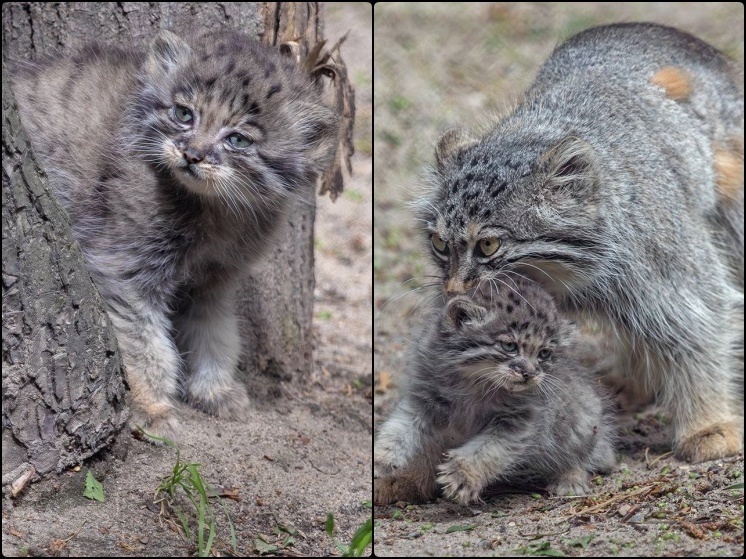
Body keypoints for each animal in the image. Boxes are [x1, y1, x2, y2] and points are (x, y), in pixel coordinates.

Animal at [12, 30, 338, 440]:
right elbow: (144, 344)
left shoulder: (215, 280)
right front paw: (150, 406)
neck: (217, 213)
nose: (192, 154)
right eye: (184, 114)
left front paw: (215, 390)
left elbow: (216, 333)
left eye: (238, 140)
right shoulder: (125, 268)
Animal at [374, 282, 612, 506]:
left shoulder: (519, 421)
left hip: (582, 421)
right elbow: (399, 426)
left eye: (544, 353)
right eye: (509, 346)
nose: (529, 374)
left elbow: (488, 451)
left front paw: (463, 476)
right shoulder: (424, 399)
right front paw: (383, 457)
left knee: (585, 454)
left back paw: (571, 479)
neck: (474, 384)